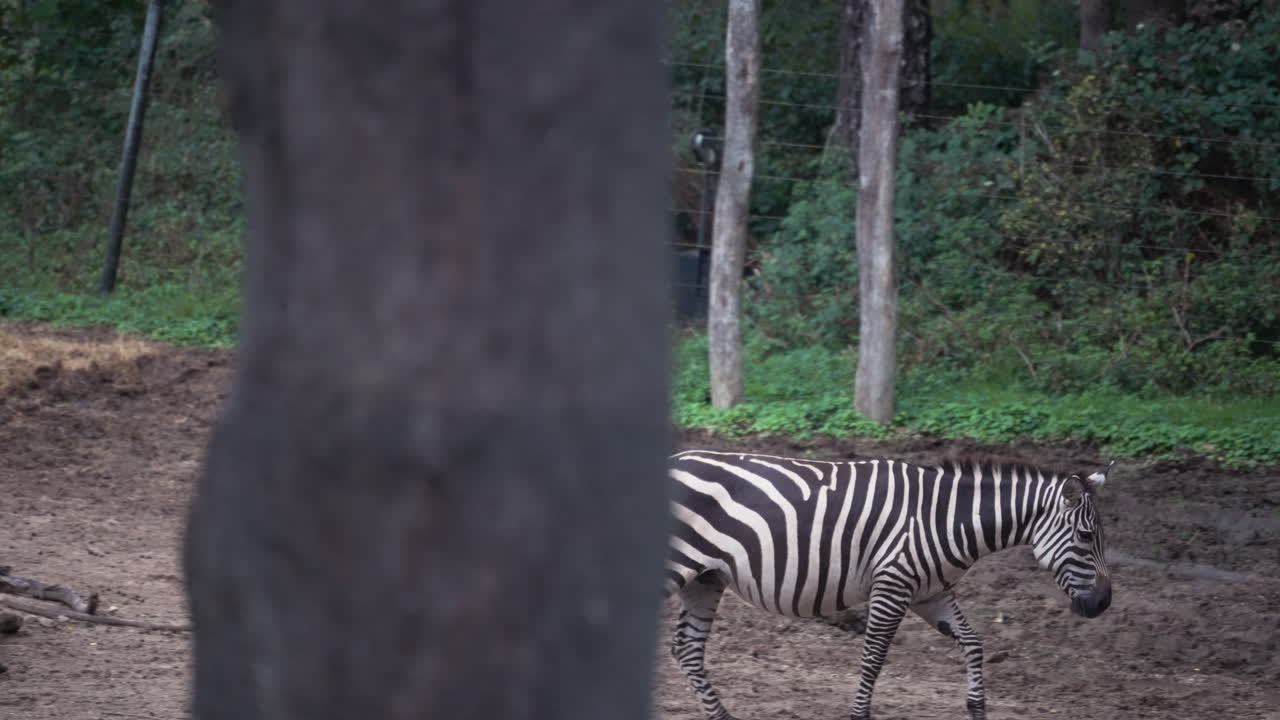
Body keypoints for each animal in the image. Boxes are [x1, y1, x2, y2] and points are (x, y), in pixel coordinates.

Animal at [664, 449, 1113, 720]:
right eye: (1086, 537)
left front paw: (977, 707)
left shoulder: (930, 592)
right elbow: (873, 659)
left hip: (705, 579)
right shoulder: (893, 585)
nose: (1104, 604)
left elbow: (973, 642)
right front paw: (860, 715)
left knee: (687, 648)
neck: (947, 518)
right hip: (677, 567)